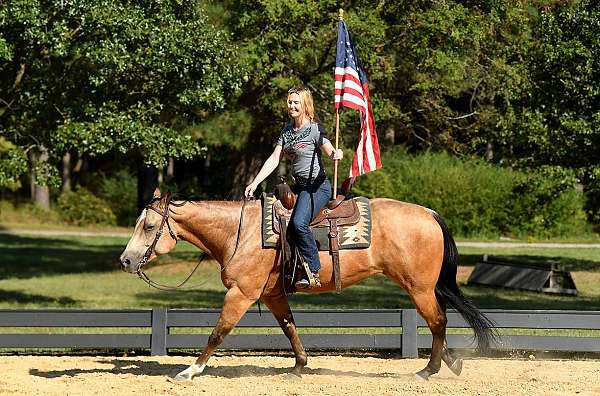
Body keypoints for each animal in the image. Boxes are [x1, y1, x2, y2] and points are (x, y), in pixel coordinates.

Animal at [118, 190, 492, 382]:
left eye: (148, 226)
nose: (125, 260)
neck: (241, 232)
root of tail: (428, 213)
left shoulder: (241, 293)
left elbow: (218, 332)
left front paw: (190, 370)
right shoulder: (272, 295)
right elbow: (290, 327)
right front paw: (299, 366)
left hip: (419, 288)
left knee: (438, 321)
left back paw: (428, 370)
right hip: (424, 288)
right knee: (439, 322)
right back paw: (450, 363)